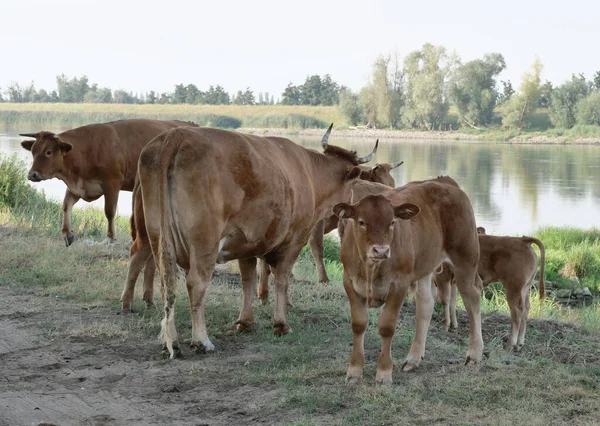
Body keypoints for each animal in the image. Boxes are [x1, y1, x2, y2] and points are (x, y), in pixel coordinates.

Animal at [18, 120, 196, 246]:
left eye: (48, 152)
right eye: (33, 151)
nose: (32, 174)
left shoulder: (112, 183)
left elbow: (109, 211)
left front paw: (110, 238)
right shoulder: (78, 187)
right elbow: (66, 206)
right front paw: (67, 234)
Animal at [138, 124, 378, 360]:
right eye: (354, 182)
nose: (353, 205)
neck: (309, 173)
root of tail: (176, 135)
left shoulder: (246, 244)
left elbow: (248, 281)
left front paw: (245, 322)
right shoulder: (295, 240)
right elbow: (281, 280)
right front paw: (281, 325)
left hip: (158, 236)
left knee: (167, 283)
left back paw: (171, 343)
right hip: (205, 241)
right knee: (196, 283)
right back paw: (202, 341)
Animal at [332, 178, 482, 384]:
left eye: (392, 222)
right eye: (361, 222)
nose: (381, 250)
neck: (371, 269)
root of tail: (444, 181)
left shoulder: (399, 285)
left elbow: (387, 326)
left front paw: (384, 372)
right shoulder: (350, 282)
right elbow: (359, 324)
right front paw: (354, 371)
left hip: (465, 259)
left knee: (472, 299)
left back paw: (474, 354)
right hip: (426, 265)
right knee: (426, 304)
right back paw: (413, 359)